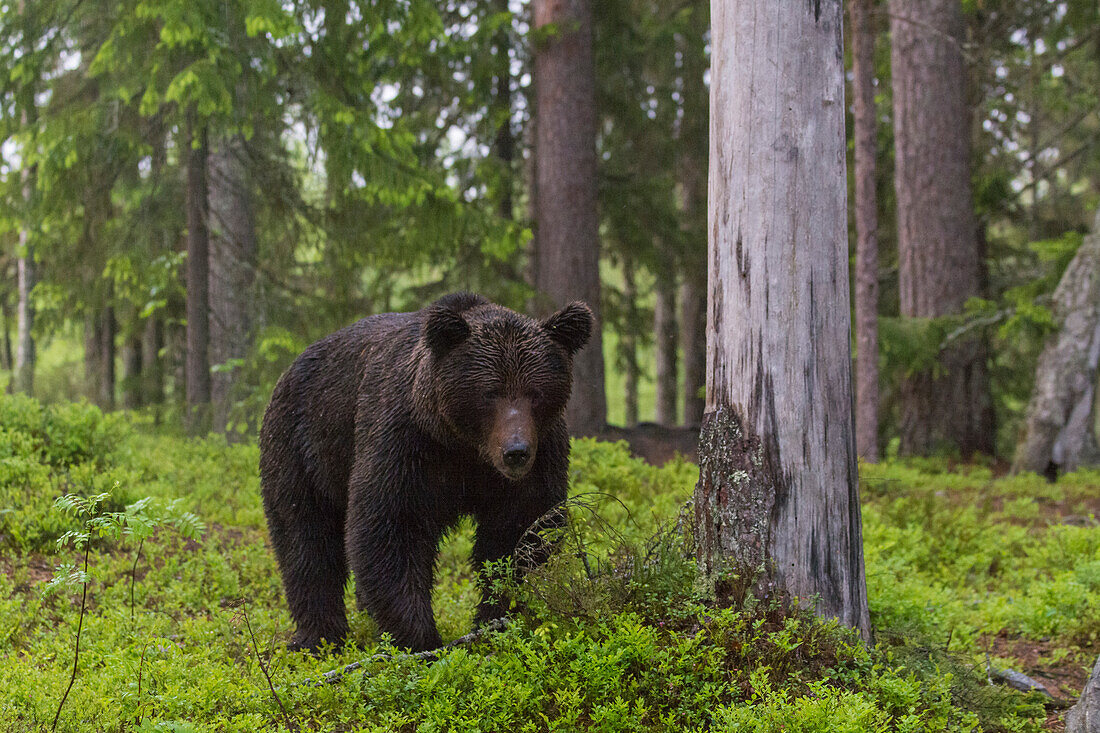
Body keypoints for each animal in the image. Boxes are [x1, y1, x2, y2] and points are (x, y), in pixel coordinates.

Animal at [258, 290, 594, 651]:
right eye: (490, 393)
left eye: (536, 393)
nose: (516, 452)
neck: (464, 446)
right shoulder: (405, 444)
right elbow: (391, 528)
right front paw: (420, 640)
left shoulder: (539, 456)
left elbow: (521, 532)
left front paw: (498, 617)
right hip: (303, 445)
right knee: (306, 539)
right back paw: (318, 637)